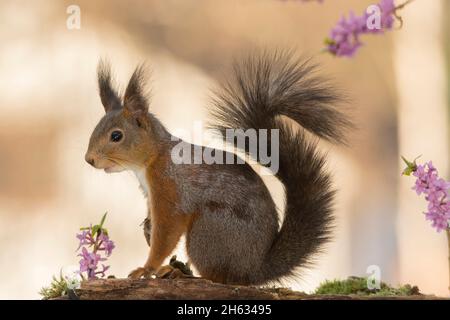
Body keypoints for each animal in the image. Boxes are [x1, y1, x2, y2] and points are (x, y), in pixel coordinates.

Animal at [85, 50, 352, 284]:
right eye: (96, 127)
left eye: (116, 136)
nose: (89, 159)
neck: (153, 157)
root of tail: (254, 270)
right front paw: (147, 228)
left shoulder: (169, 189)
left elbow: (166, 233)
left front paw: (146, 268)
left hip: (208, 231)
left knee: (219, 278)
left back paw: (182, 274)